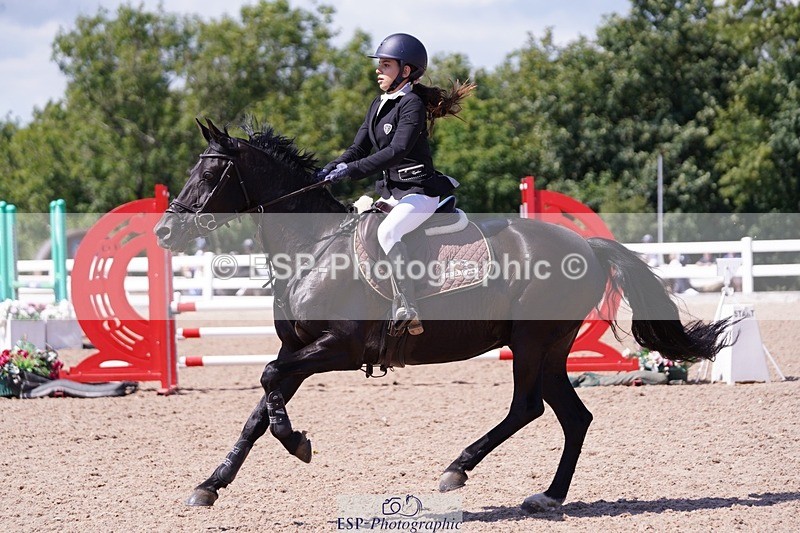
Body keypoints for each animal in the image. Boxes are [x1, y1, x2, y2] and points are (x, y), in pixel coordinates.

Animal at [155, 118, 729, 512]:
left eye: (211, 172)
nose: (164, 232)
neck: (312, 248)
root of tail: (585, 245)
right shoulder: (298, 348)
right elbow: (260, 405)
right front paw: (210, 484)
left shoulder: (336, 349)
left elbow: (269, 380)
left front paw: (297, 442)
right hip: (549, 348)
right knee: (572, 415)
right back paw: (547, 496)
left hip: (531, 342)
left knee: (528, 408)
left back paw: (457, 470)